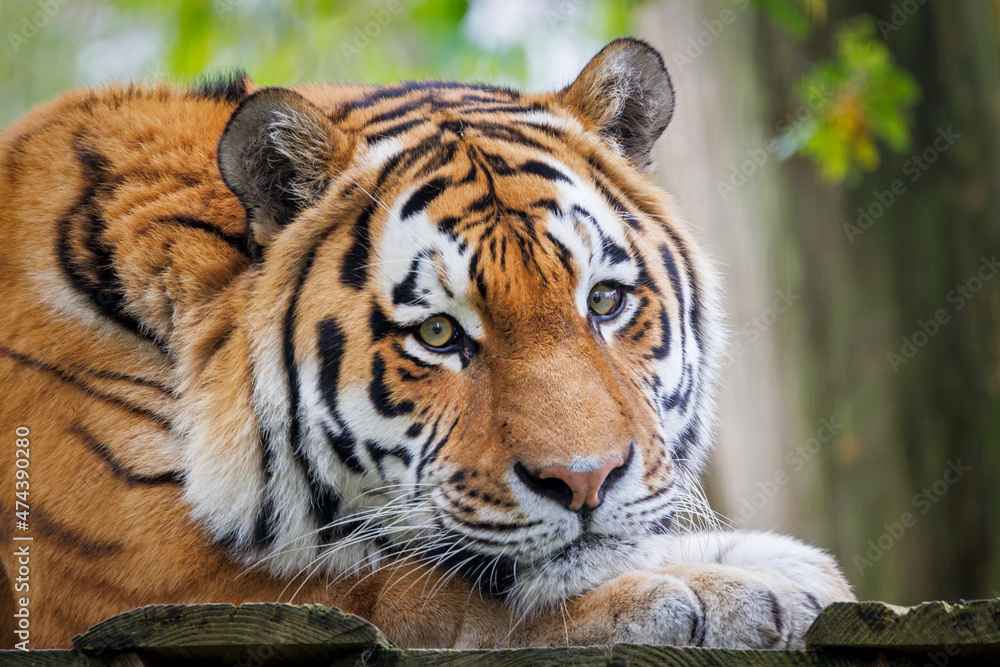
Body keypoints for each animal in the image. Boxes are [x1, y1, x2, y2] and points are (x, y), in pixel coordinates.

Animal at [0, 38, 853, 650]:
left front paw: (781, 566)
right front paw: (721, 592)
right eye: (439, 333)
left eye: (604, 301)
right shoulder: (153, 569)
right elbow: (432, 595)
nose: (585, 481)